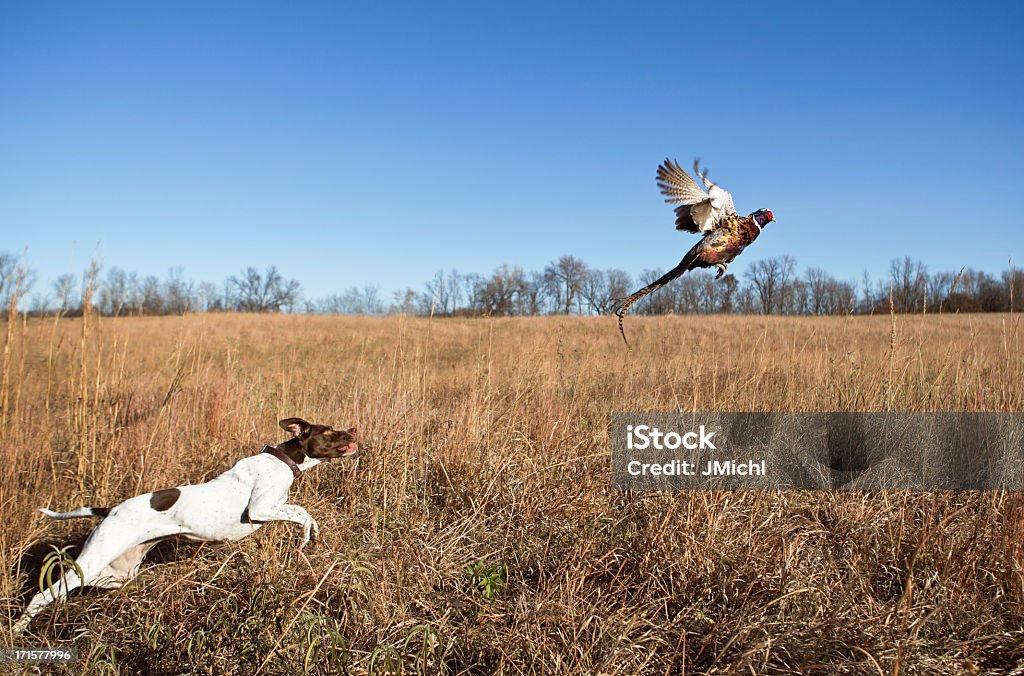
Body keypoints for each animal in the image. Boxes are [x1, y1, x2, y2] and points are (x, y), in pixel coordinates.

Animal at [9, 417, 356, 635]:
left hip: (116, 573)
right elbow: (301, 511)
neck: (283, 458)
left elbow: (301, 513)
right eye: (328, 431)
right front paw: (307, 535)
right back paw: (16, 630)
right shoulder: (259, 509)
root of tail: (110, 510)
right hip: (94, 558)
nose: (353, 430)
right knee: (43, 594)